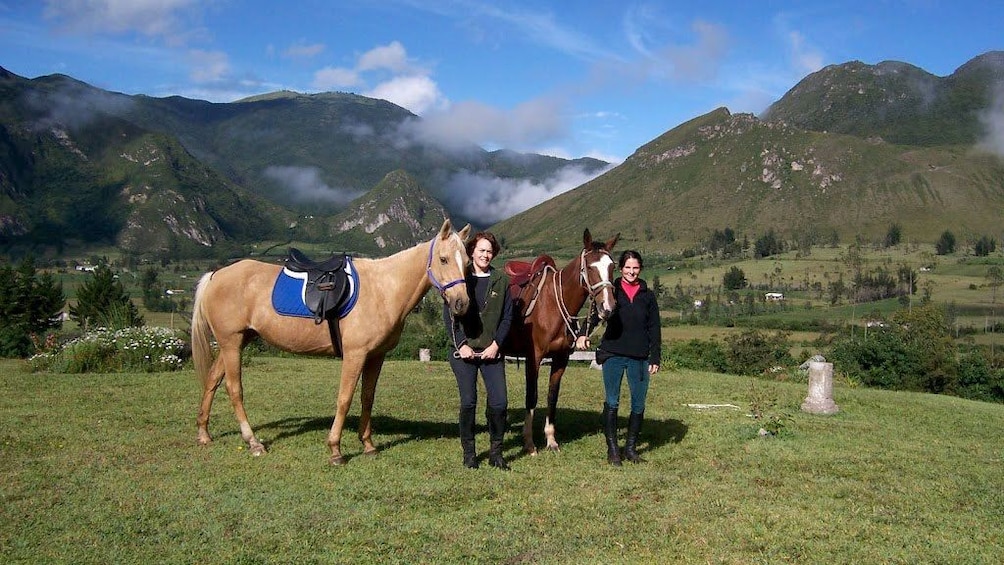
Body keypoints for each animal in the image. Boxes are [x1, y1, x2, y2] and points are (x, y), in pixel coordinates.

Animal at [192, 218, 473, 465]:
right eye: (443, 259)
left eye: (468, 262)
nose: (462, 304)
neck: (383, 290)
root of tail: (216, 275)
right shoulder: (355, 354)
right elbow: (344, 398)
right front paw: (335, 449)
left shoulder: (376, 356)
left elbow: (367, 397)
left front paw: (368, 445)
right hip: (231, 343)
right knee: (234, 389)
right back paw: (253, 443)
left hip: (236, 342)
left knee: (212, 381)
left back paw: (204, 434)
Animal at [506, 229, 614, 455]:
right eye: (590, 267)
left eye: (612, 266)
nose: (608, 307)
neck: (552, 306)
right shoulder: (534, 358)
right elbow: (532, 397)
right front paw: (529, 443)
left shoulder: (560, 359)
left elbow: (552, 397)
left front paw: (551, 440)